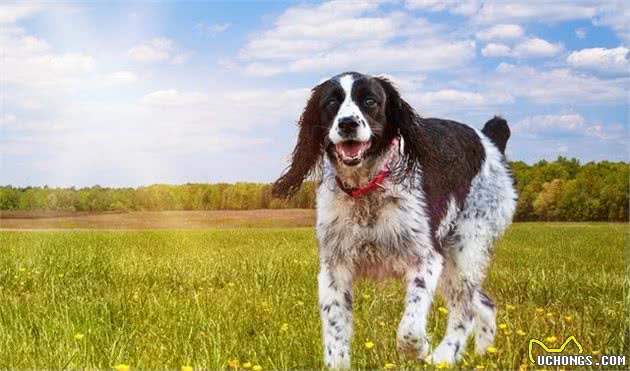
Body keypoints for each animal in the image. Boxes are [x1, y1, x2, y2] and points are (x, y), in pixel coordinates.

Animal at [274, 72, 516, 370]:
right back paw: (484, 354)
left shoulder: (425, 258)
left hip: (465, 249)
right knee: (483, 304)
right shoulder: (335, 267)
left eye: (370, 101)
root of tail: (490, 141)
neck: (367, 191)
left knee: (465, 310)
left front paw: (421, 349)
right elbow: (335, 334)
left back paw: (443, 356)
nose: (348, 123)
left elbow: (409, 330)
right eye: (331, 102)